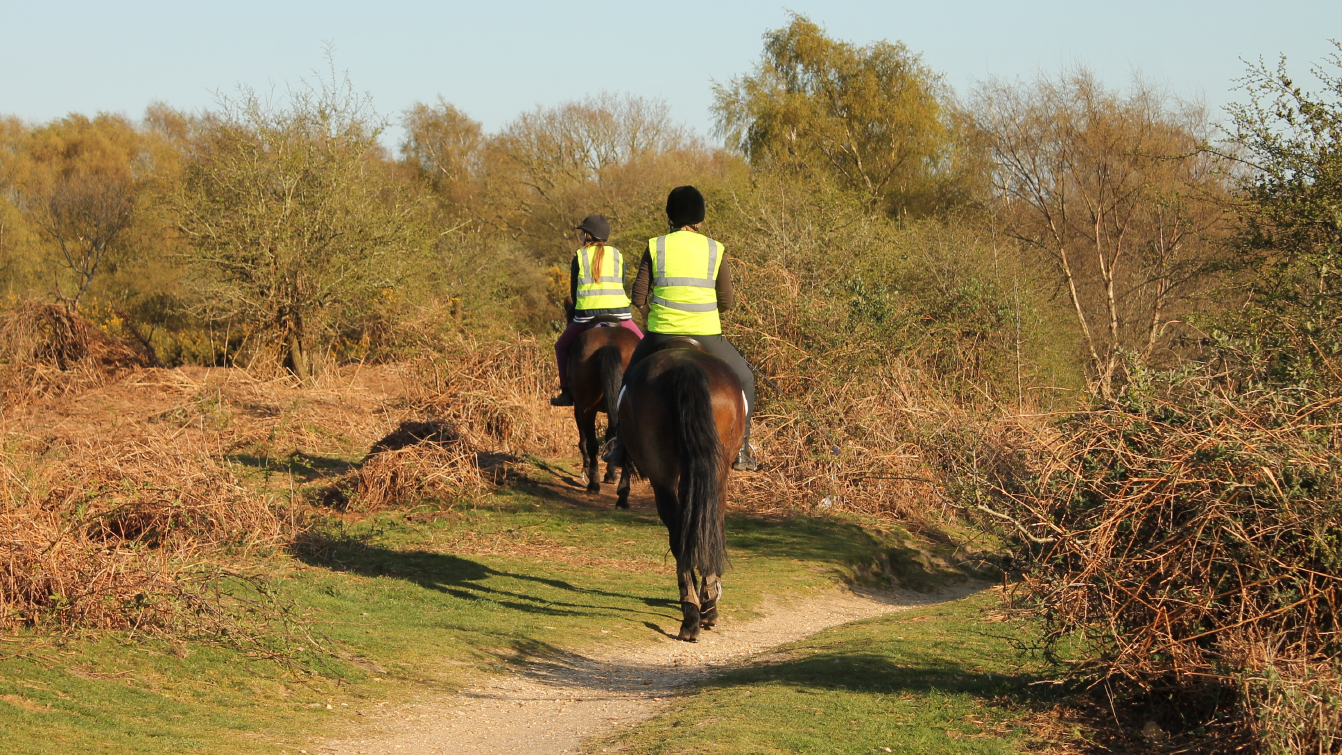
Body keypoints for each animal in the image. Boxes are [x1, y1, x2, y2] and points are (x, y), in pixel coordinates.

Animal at [566, 319, 638, 506]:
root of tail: (609, 345)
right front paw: (611, 473)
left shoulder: (578, 407)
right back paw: (623, 494)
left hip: (586, 407)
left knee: (592, 443)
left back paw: (594, 483)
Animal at [614, 343, 751, 643]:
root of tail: (684, 365)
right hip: (710, 470)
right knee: (702, 527)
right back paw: (704, 609)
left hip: (665, 474)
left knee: (681, 535)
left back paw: (691, 614)